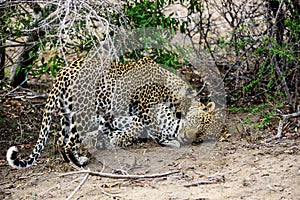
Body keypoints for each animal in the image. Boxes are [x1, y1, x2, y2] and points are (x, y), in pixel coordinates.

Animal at [7, 56, 223, 169]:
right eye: (198, 122)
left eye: (202, 134)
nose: (188, 137)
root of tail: (64, 72)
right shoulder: (145, 107)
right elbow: (152, 128)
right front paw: (169, 141)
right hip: (83, 113)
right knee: (69, 143)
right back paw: (80, 163)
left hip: (67, 113)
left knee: (61, 140)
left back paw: (73, 162)